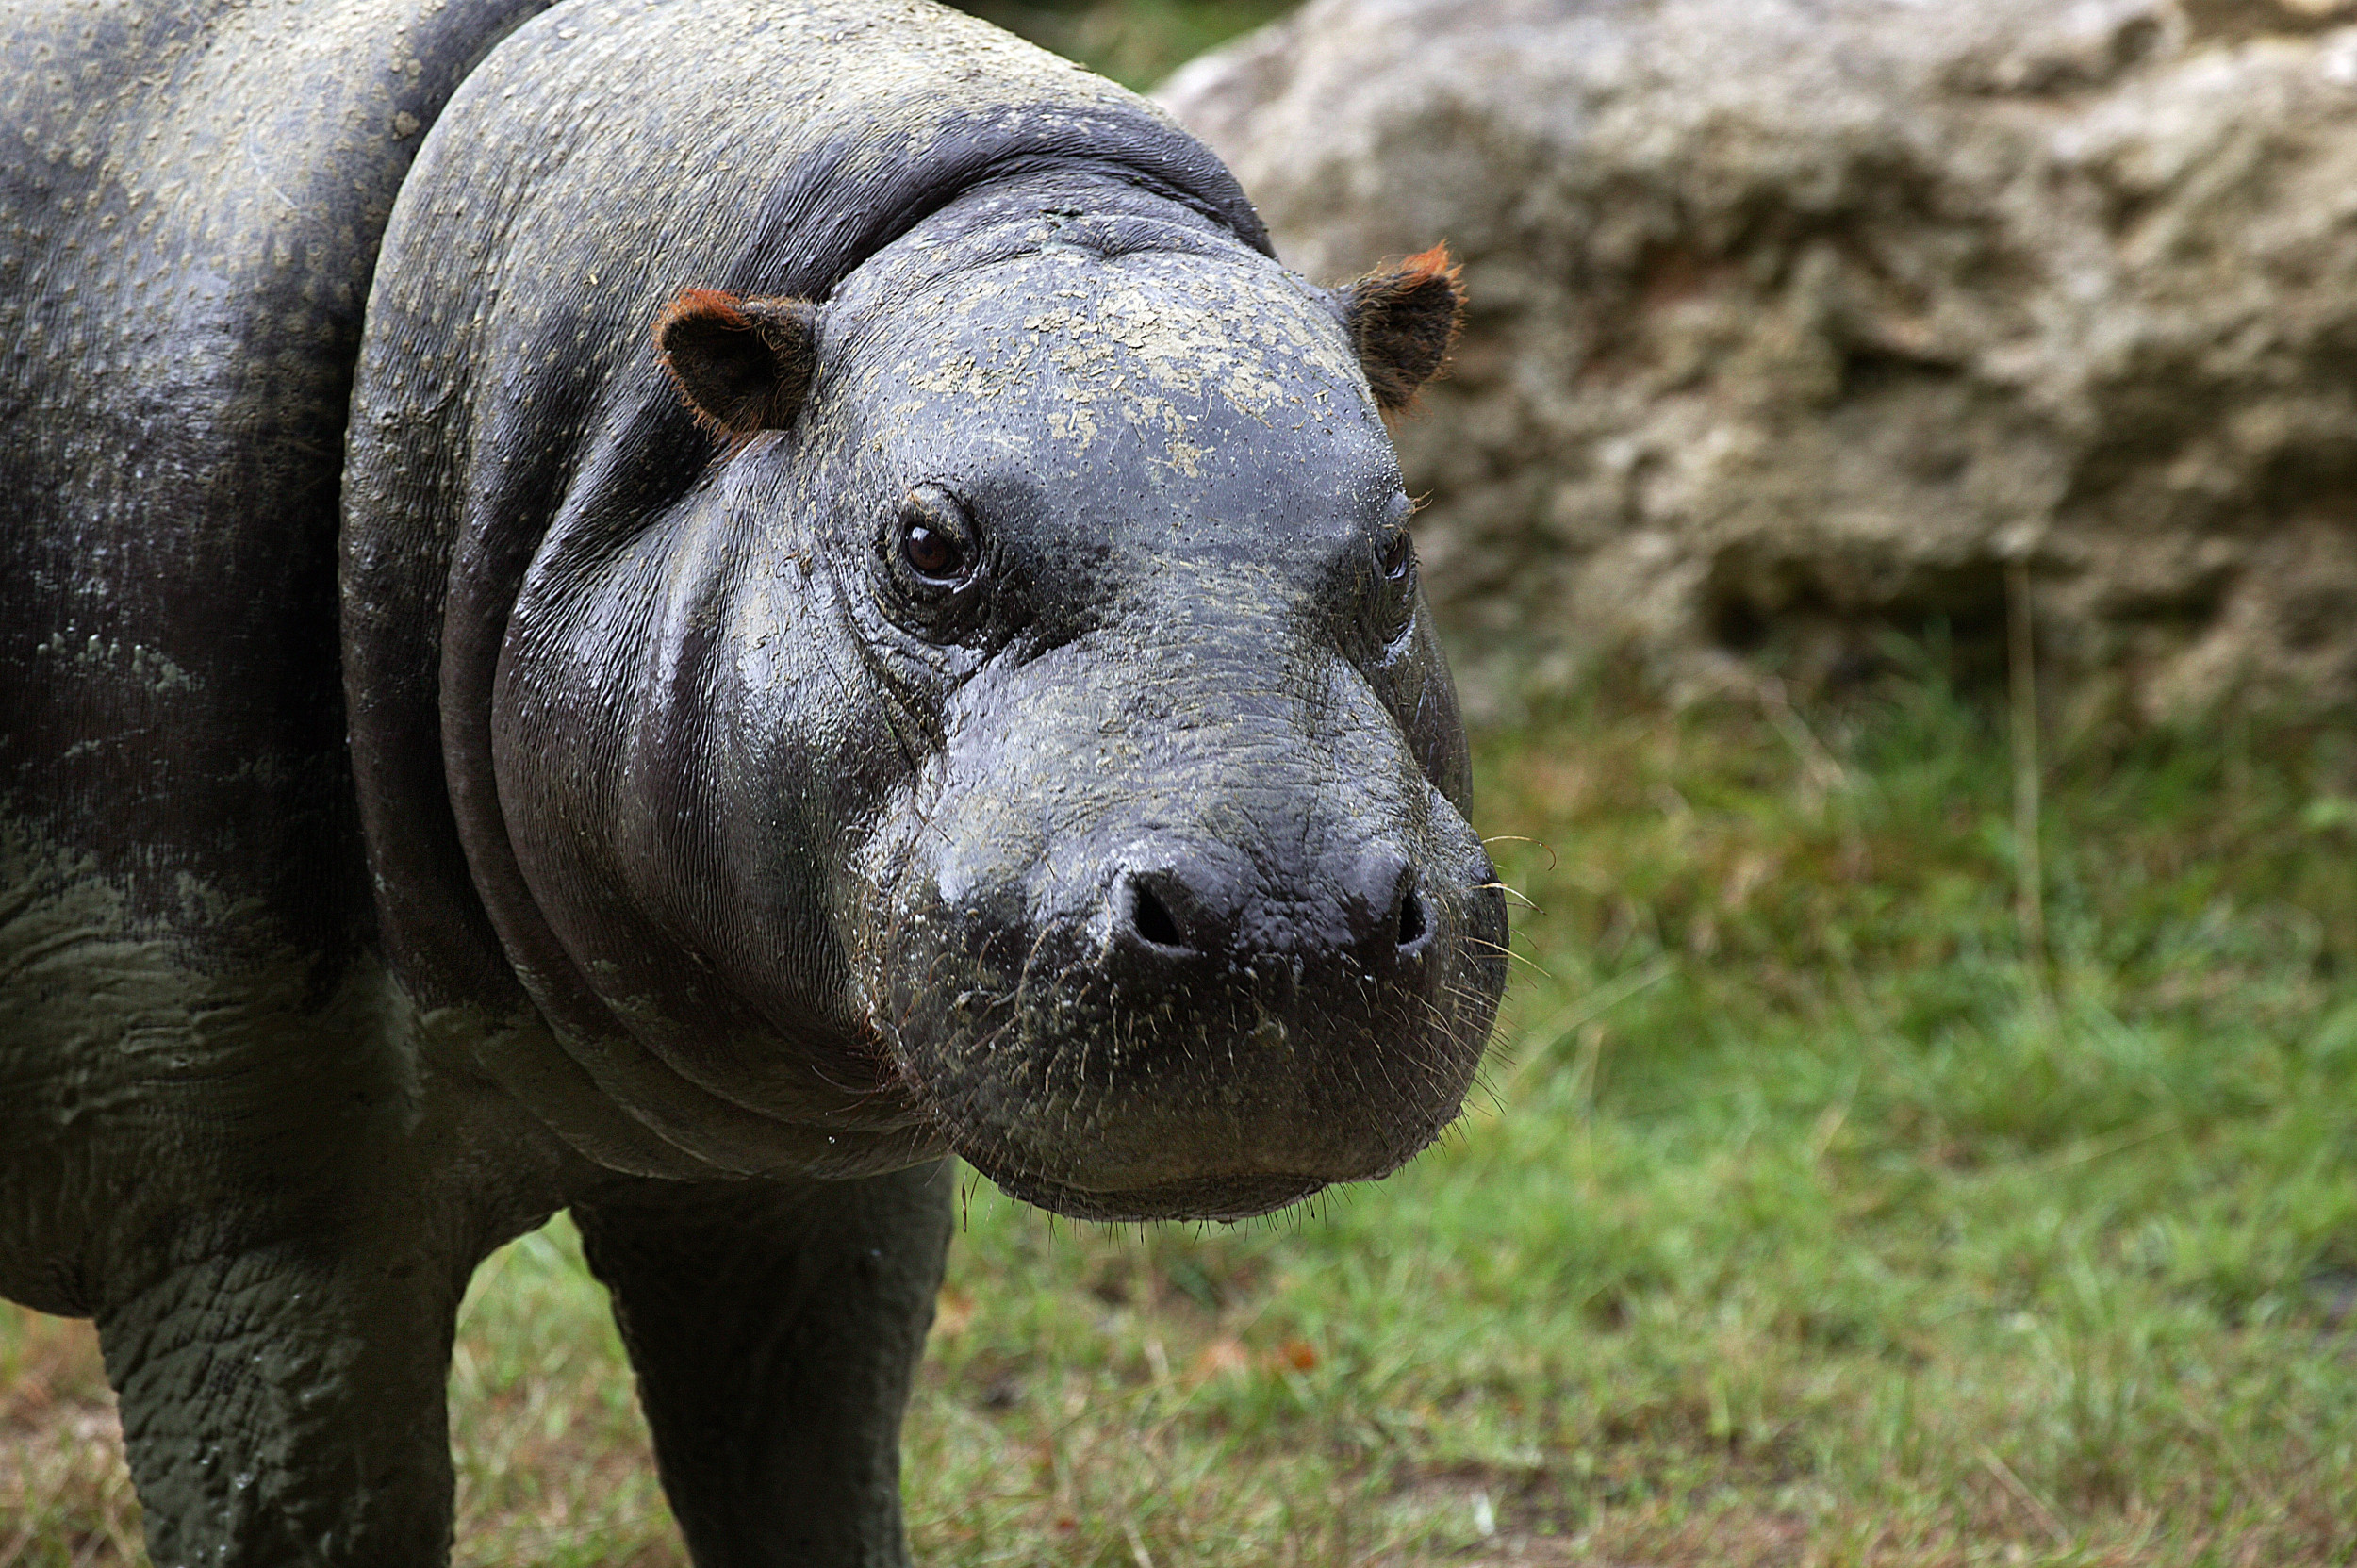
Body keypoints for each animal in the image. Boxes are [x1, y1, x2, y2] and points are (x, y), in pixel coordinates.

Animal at [0, 0, 1507, 1562]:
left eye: (1399, 540)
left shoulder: (807, 1194)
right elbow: (308, 1500)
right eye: (926, 541)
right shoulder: (254, 1226)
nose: (1284, 916)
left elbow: (803, 1456)